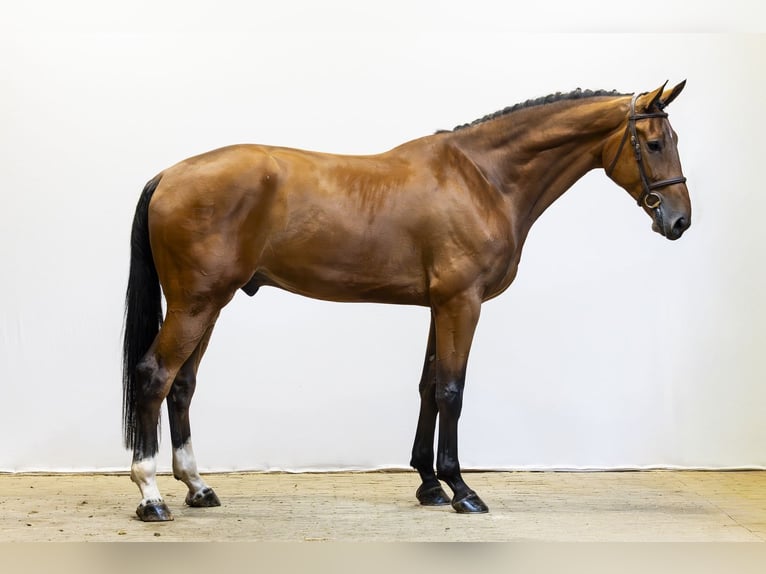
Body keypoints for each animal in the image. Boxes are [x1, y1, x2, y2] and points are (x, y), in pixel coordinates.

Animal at [123, 81, 691, 521]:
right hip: (196, 303)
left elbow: (428, 388)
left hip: (209, 304)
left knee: (182, 385)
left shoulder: (440, 306)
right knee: (155, 376)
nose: (678, 220)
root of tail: (168, 175)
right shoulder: (463, 303)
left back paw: (199, 487)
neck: (483, 179)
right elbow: (452, 392)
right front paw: (462, 490)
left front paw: (429, 486)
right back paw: (151, 496)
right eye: (654, 143)